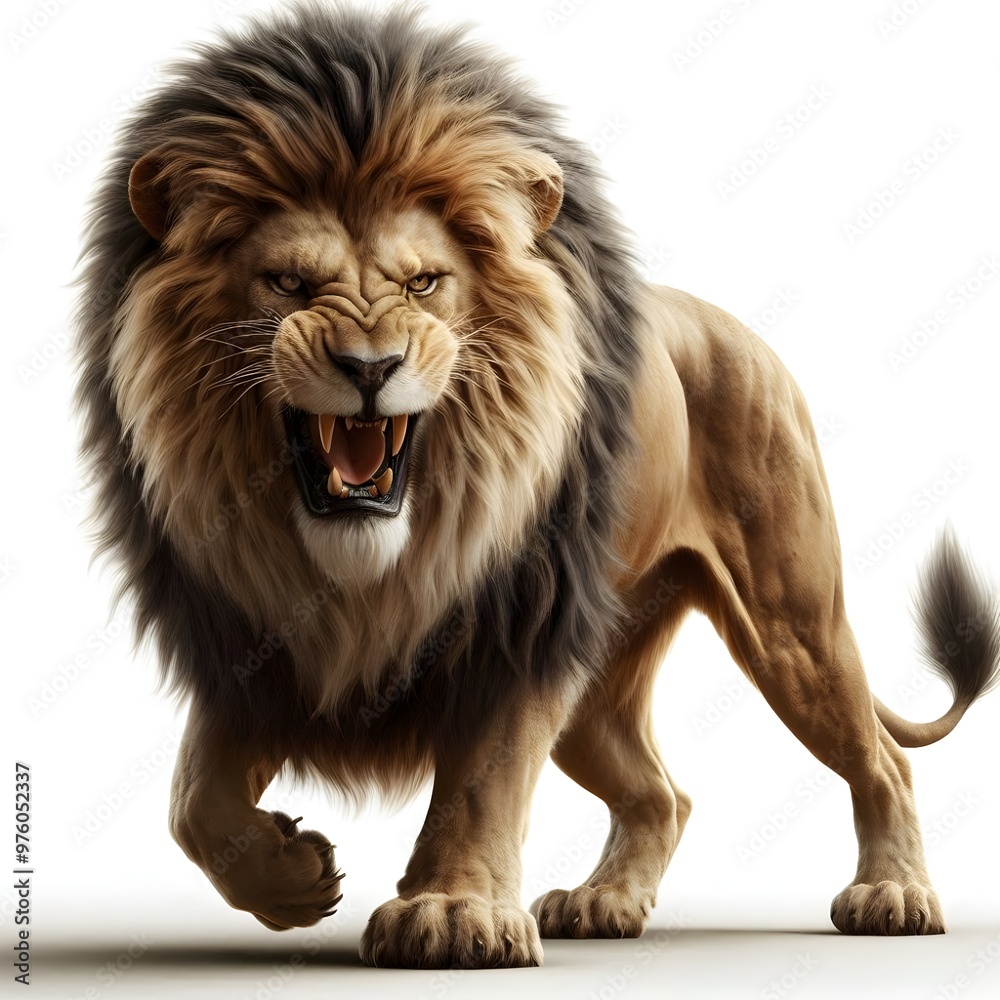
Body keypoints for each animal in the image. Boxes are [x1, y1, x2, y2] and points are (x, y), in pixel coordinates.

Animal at [74, 3, 999, 969]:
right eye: (289, 282)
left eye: (424, 282)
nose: (370, 367)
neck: (365, 566)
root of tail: (733, 326)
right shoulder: (247, 644)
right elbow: (192, 801)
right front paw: (290, 880)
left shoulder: (519, 625)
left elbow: (483, 779)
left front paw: (450, 913)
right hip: (605, 679)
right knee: (661, 793)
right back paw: (606, 902)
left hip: (792, 624)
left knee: (882, 759)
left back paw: (894, 894)